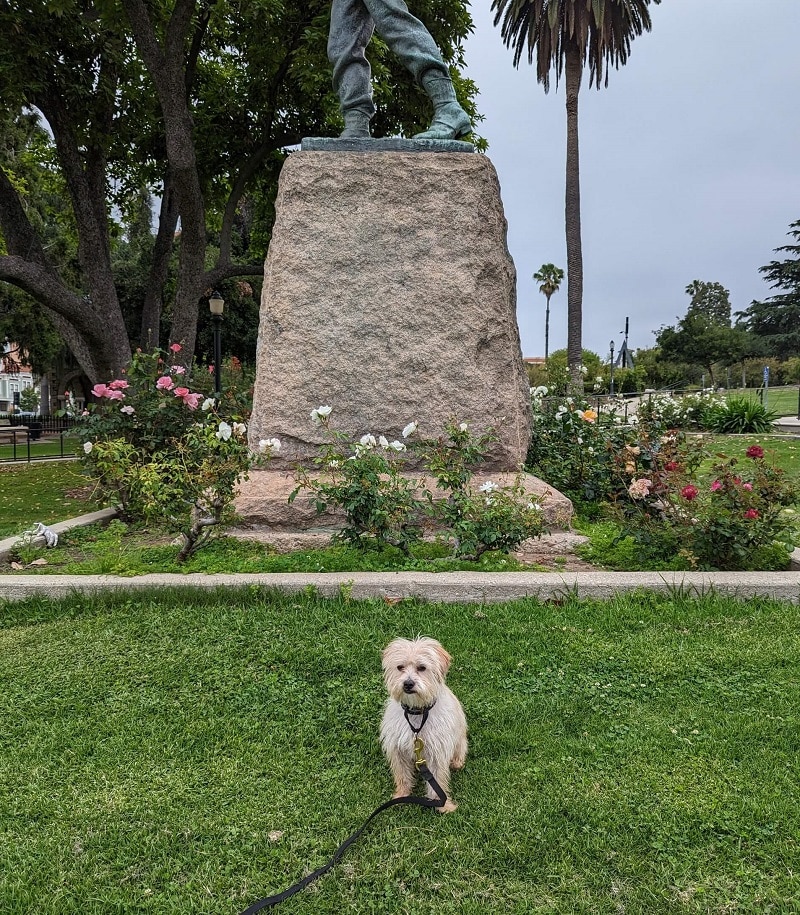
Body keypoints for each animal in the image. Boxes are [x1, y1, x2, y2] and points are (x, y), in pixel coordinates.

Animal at [382, 636, 468, 816]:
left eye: (422, 667)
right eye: (400, 667)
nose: (408, 684)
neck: (417, 712)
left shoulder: (437, 751)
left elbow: (438, 780)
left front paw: (442, 805)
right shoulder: (397, 749)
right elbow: (402, 774)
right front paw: (402, 795)